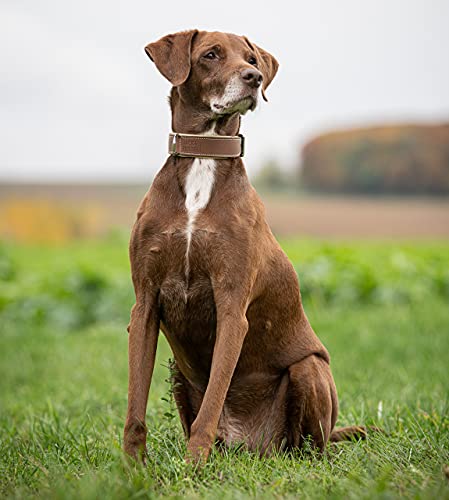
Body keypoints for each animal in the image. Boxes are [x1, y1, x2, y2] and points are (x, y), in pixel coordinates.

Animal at [123, 29, 364, 462]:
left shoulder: (232, 308)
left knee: (310, 445)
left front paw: (192, 466)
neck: (203, 159)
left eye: (251, 58)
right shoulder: (145, 304)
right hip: (175, 370)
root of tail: (250, 446)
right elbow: (136, 402)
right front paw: (132, 468)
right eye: (210, 54)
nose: (254, 77)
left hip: (310, 370)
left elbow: (212, 402)